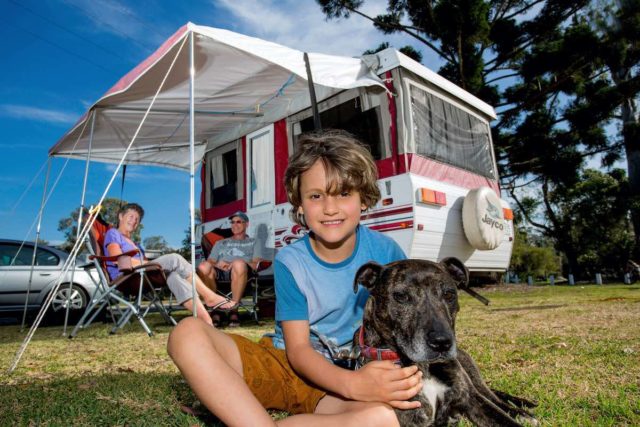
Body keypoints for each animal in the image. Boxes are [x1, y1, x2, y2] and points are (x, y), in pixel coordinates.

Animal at [356, 260, 536, 426]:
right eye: (401, 296)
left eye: (449, 294)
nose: (442, 342)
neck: (424, 367)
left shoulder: (471, 398)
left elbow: (502, 417)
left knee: (492, 396)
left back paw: (521, 411)